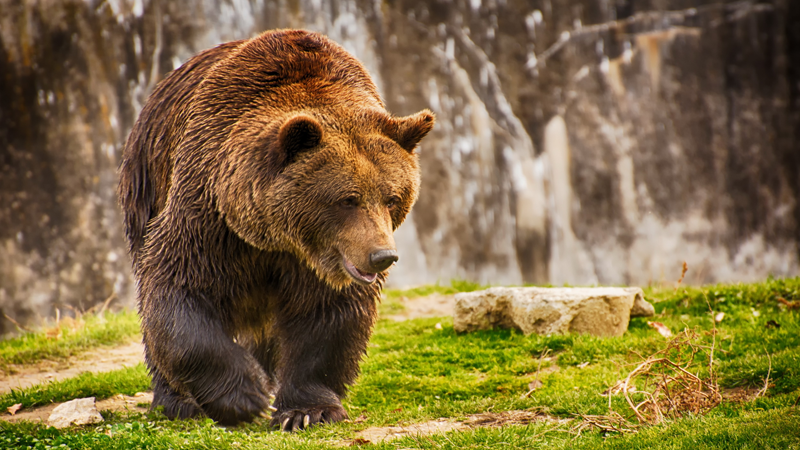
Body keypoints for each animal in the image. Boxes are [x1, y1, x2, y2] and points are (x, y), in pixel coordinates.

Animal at [116, 28, 434, 428]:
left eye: (392, 198)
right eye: (348, 199)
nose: (382, 256)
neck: (275, 237)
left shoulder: (321, 263)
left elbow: (327, 316)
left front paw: (306, 411)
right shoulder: (208, 215)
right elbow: (176, 290)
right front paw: (243, 396)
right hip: (147, 179)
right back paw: (178, 401)